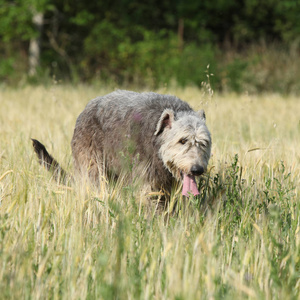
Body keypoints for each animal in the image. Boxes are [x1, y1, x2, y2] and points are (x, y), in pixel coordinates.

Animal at [32, 89, 211, 202]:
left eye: (203, 143)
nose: (197, 169)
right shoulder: (145, 183)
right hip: (91, 168)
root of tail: (84, 110)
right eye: (182, 140)